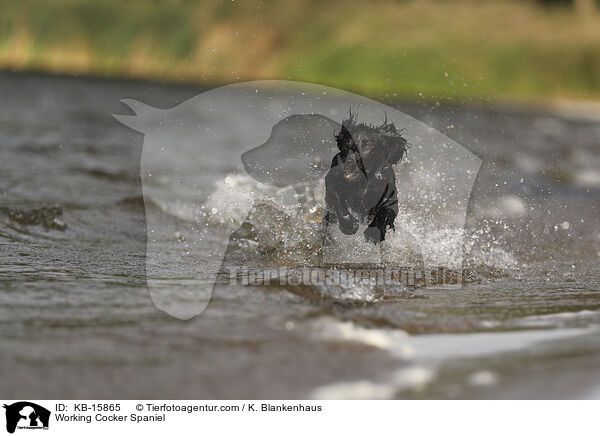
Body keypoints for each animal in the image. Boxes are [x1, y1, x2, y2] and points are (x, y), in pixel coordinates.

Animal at [326, 110, 410, 244]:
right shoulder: (332, 182)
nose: (349, 162)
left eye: (367, 146)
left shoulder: (389, 197)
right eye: (346, 144)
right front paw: (349, 225)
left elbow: (385, 212)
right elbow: (338, 199)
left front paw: (373, 232)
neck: (363, 181)